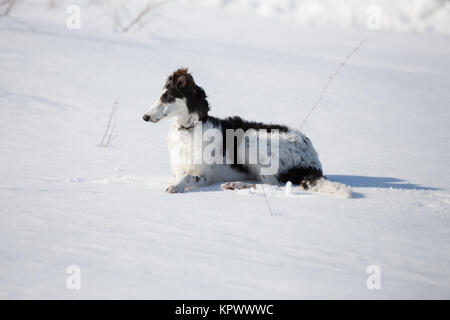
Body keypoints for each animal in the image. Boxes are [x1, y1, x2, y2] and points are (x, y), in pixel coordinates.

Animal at [142, 69, 350, 196]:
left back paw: (234, 184)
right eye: (161, 95)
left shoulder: (204, 174)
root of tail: (314, 161)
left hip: (248, 142)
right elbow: (181, 174)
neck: (188, 130)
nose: (144, 116)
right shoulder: (179, 168)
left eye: (167, 97)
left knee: (270, 184)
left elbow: (186, 177)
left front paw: (175, 187)